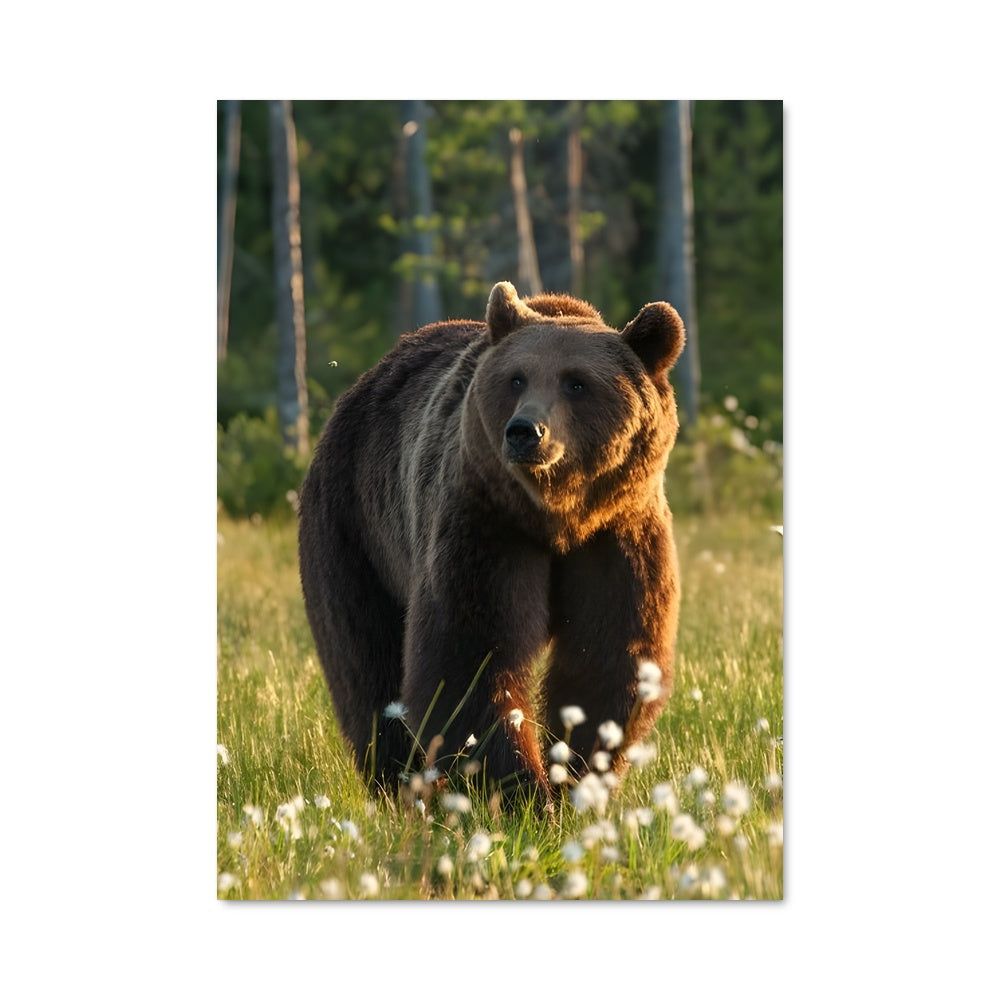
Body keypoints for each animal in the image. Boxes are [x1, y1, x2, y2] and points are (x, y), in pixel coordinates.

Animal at [298, 280, 685, 801]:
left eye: (577, 382)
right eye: (517, 379)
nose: (525, 431)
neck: (557, 516)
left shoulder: (619, 532)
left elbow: (609, 655)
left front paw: (575, 777)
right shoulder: (486, 524)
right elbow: (470, 655)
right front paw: (524, 791)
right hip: (354, 529)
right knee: (366, 662)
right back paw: (401, 787)